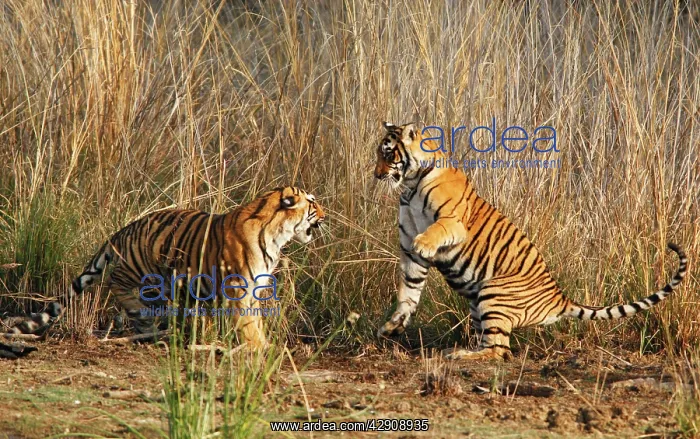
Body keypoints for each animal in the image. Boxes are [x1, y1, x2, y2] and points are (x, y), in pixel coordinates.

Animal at [71, 186, 325, 347]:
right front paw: (259, 346)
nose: (325, 215)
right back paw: (140, 313)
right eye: (312, 202)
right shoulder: (238, 287)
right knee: (115, 280)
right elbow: (249, 322)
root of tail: (126, 229)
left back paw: (149, 325)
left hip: (159, 281)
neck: (277, 234)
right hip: (137, 266)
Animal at [374, 121, 688, 360]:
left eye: (388, 155)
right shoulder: (409, 254)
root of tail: (560, 298)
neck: (411, 185)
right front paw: (391, 327)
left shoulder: (453, 221)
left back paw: (459, 354)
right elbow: (408, 293)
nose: (376, 175)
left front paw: (426, 243)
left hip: (494, 293)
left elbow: (435, 231)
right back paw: (462, 350)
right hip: (479, 302)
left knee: (499, 351)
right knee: (492, 343)